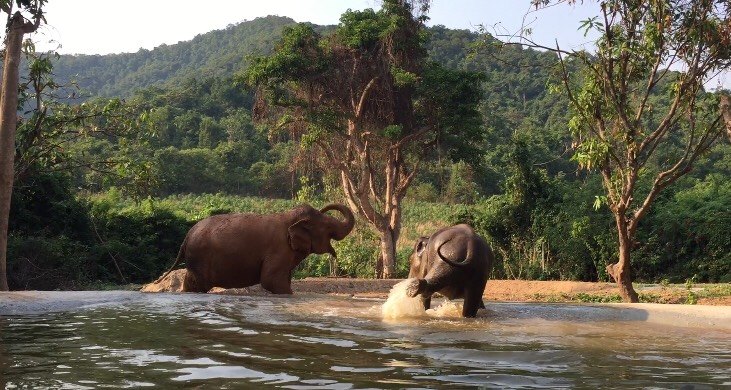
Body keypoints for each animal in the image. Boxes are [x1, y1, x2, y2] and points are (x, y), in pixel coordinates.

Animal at [159, 204, 356, 292]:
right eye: (329, 228)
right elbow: (270, 280)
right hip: (200, 258)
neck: (289, 217)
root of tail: (186, 238)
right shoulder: (278, 249)